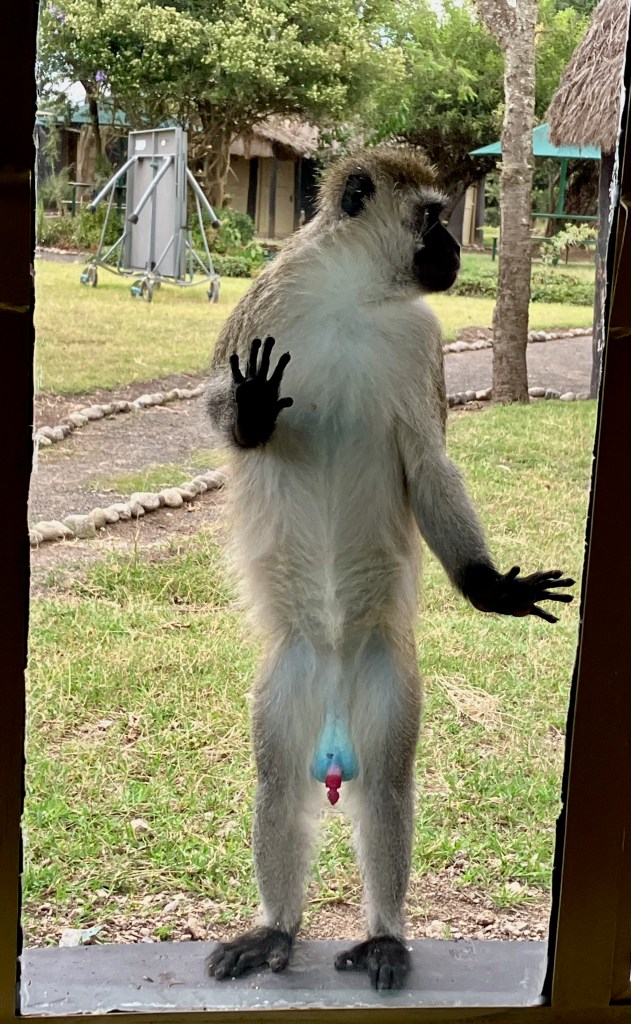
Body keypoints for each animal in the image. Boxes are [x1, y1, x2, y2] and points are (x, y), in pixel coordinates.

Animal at [204, 147, 574, 991]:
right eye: (432, 216)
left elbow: (430, 464)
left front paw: (488, 586)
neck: (353, 296)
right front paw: (251, 411)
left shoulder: (419, 338)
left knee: (384, 791)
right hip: (289, 682)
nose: (453, 248)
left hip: (384, 681)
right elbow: (213, 404)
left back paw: (382, 937)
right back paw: (275, 929)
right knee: (280, 787)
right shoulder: (264, 302)